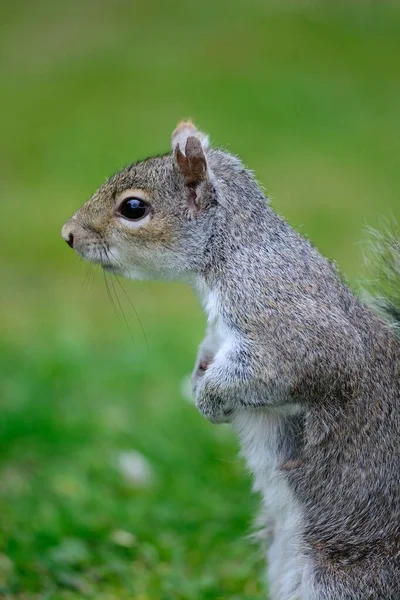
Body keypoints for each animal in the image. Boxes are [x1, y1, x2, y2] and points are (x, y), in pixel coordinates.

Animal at [61, 119, 400, 596]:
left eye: (133, 208)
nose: (68, 235)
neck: (229, 250)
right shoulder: (218, 334)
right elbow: (209, 351)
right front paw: (196, 381)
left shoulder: (282, 317)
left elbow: (292, 367)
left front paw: (210, 398)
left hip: (343, 578)